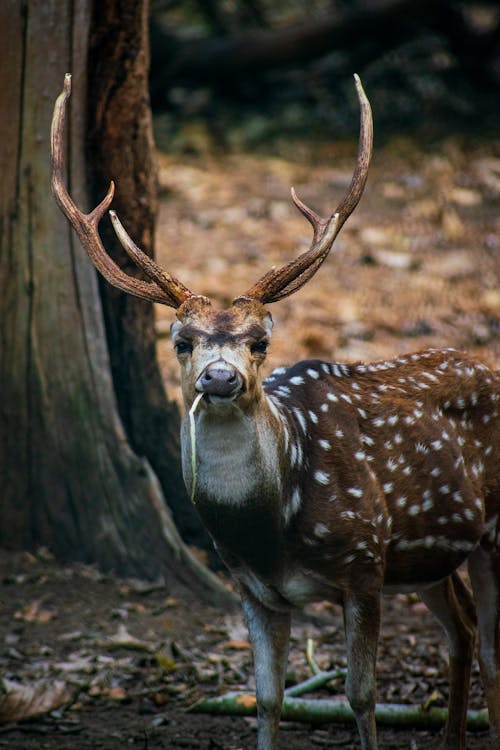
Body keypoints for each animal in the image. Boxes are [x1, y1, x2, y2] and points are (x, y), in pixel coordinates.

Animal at [51, 72, 500, 750]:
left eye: (260, 340)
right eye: (181, 341)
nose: (219, 376)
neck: (270, 526)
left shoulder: (365, 561)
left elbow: (360, 695)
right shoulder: (251, 588)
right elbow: (266, 699)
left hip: (488, 532)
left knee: (492, 649)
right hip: (432, 558)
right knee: (467, 631)